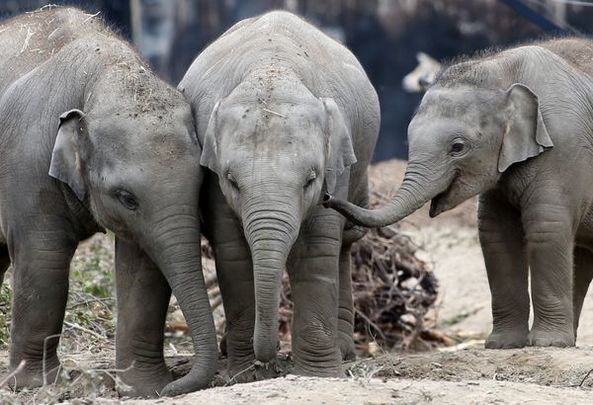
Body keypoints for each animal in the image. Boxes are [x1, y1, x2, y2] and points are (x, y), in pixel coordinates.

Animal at [0, 7, 216, 398]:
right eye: (127, 198)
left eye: (201, 186)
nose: (177, 384)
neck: (105, 73)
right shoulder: (26, 164)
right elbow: (44, 259)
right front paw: (36, 385)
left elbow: (143, 269)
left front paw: (144, 389)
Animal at [177, 11, 380, 378]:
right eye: (232, 181)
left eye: (311, 180)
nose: (269, 360)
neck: (272, 70)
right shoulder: (211, 176)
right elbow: (232, 250)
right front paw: (244, 374)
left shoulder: (335, 168)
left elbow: (317, 247)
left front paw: (318, 374)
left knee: (345, 241)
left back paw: (344, 351)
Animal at [324, 37, 593, 348]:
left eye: (458, 147)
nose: (326, 197)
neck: (500, 70)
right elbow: (495, 234)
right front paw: (501, 344)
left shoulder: (564, 149)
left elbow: (546, 227)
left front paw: (547, 344)